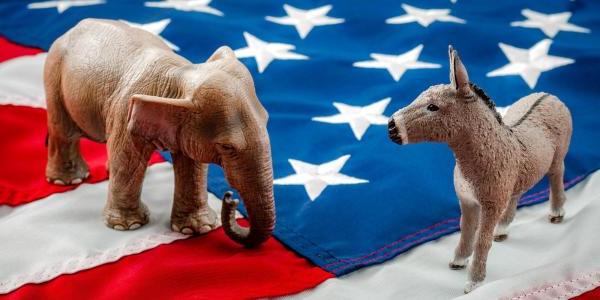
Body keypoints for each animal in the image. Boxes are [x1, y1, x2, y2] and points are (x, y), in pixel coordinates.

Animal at [44, 19, 274, 248]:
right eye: (227, 146)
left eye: (267, 120)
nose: (229, 197)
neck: (179, 76)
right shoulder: (125, 113)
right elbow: (126, 160)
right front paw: (129, 226)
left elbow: (192, 165)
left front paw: (197, 228)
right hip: (54, 74)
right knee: (64, 131)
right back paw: (69, 181)